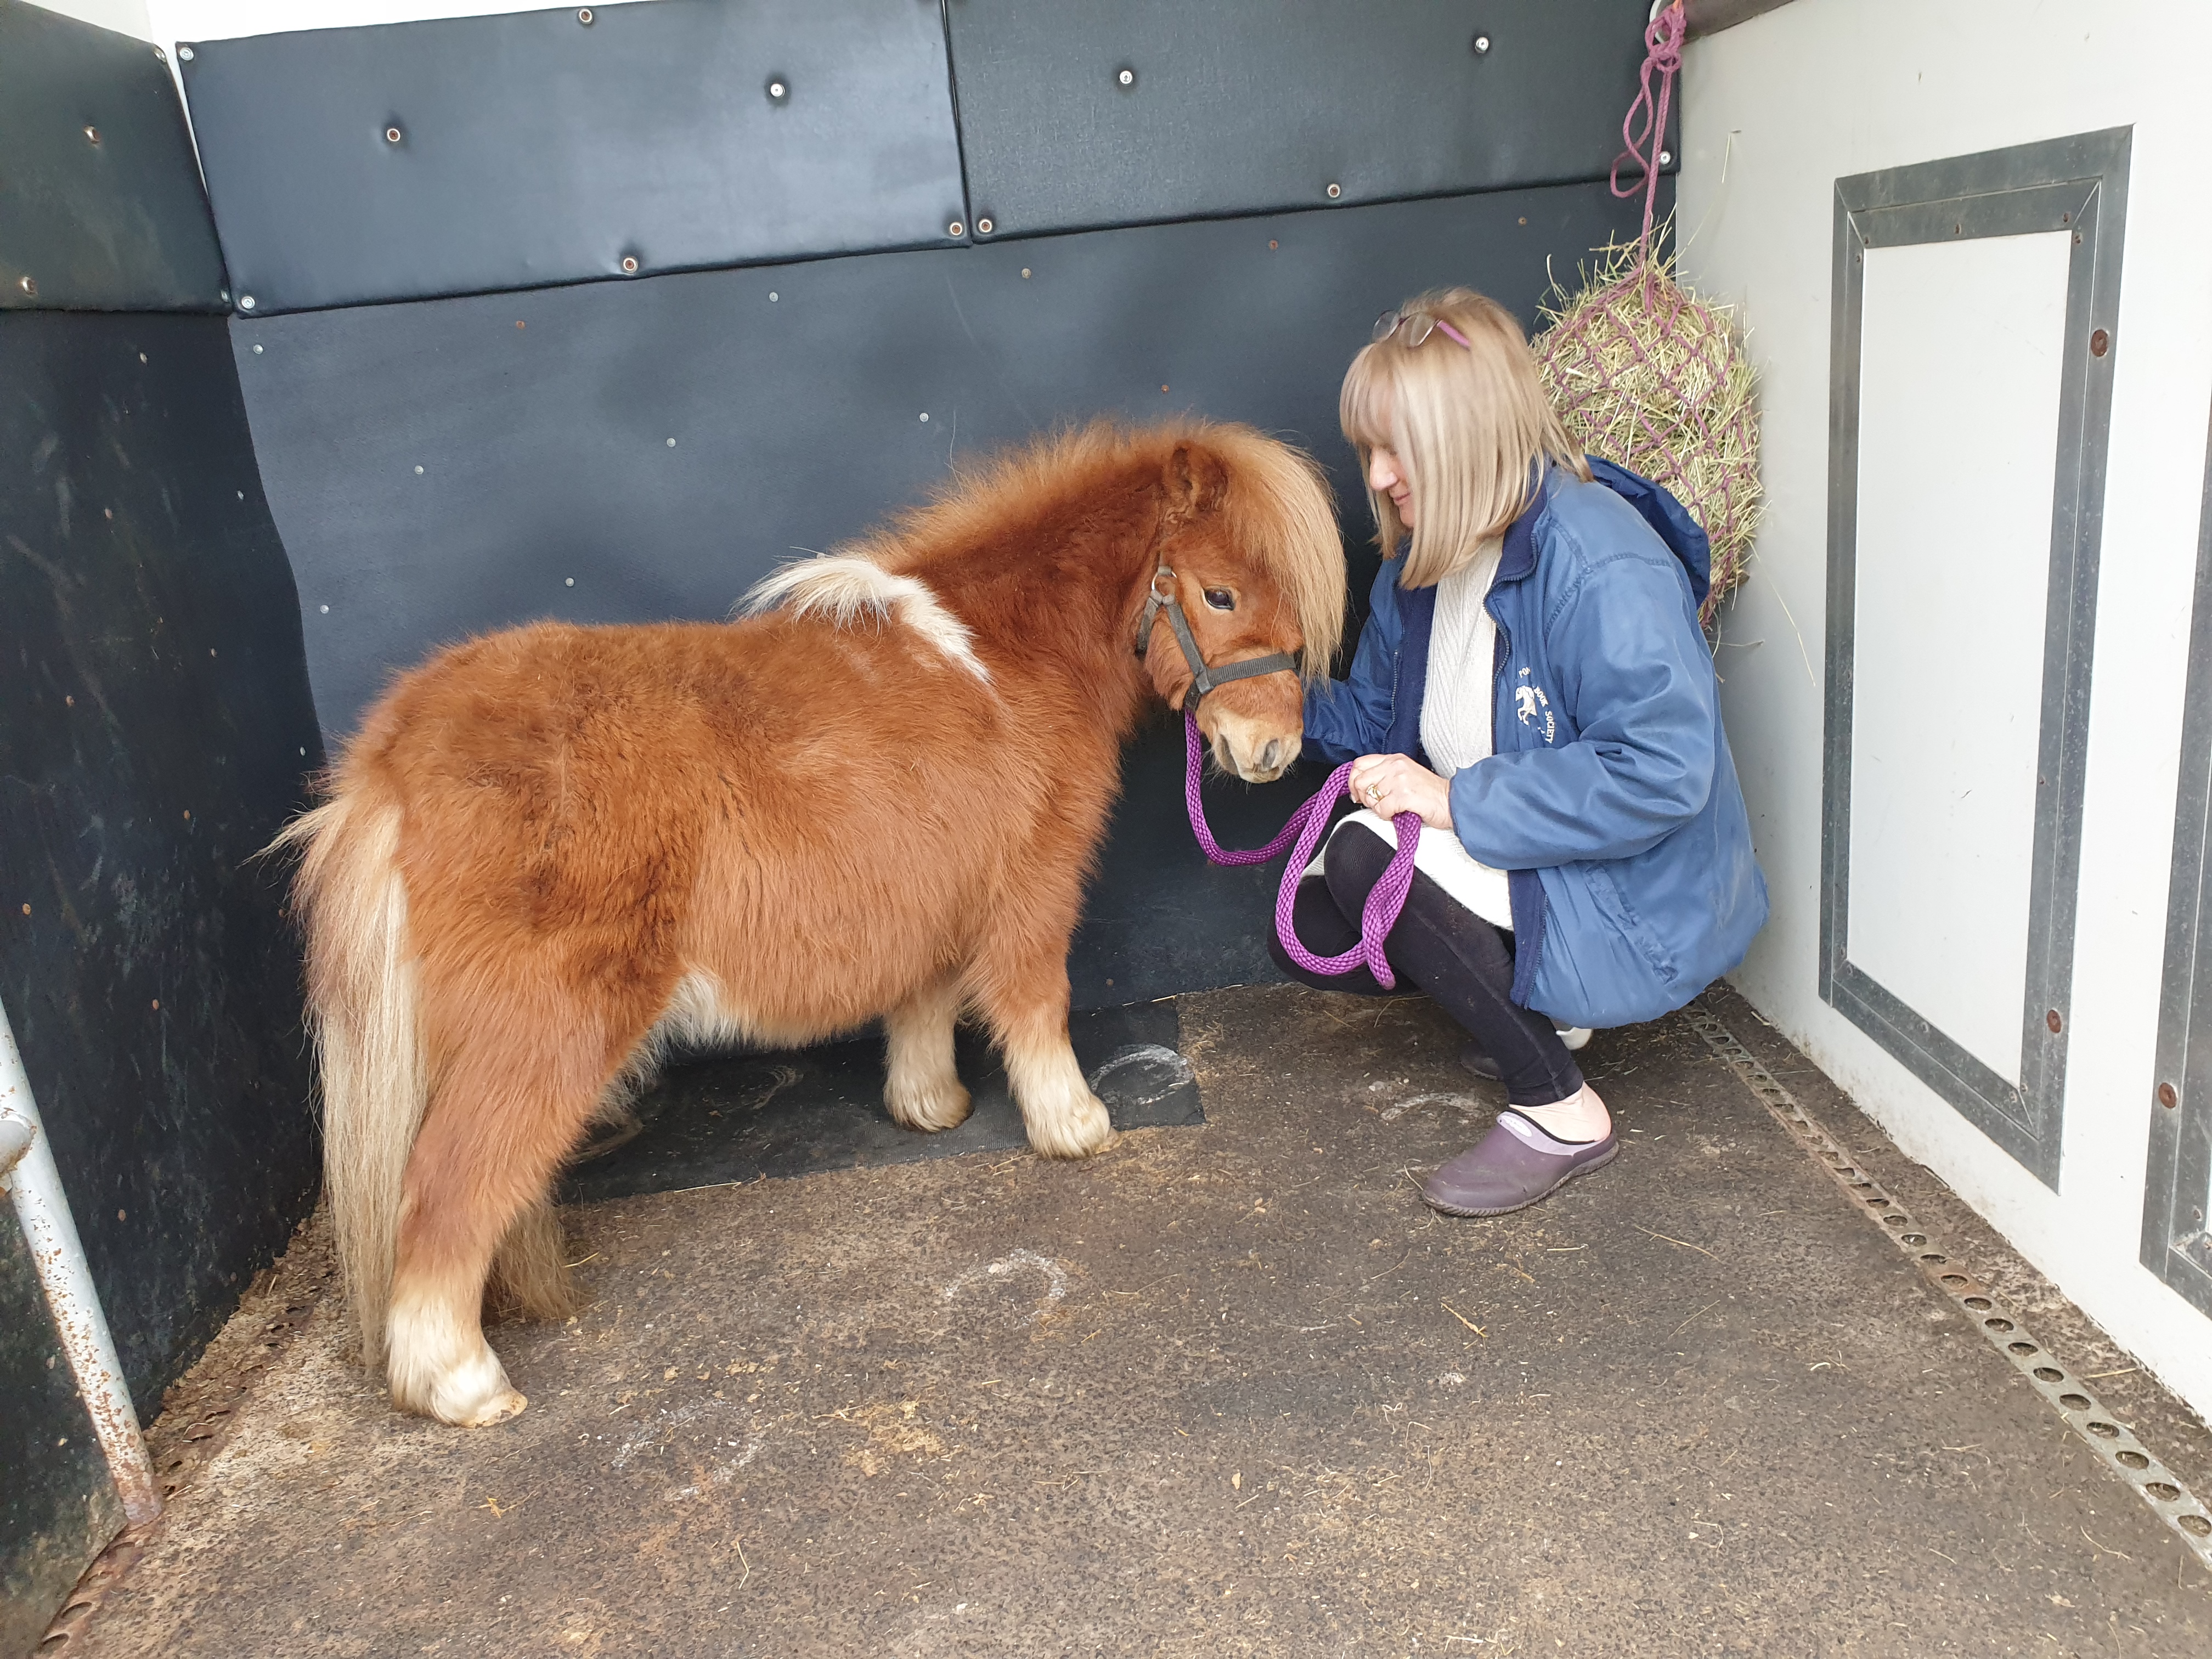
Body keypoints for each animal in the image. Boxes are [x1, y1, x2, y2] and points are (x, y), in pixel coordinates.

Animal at [276, 422, 1345, 1424]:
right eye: (1218, 595)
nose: (1273, 750)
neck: (1006, 654)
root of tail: (396, 756)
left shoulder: (927, 889)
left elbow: (922, 1004)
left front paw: (931, 1105)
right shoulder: (1034, 886)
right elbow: (1037, 1002)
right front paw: (1074, 1125)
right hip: (542, 1029)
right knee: (449, 1185)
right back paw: (461, 1383)